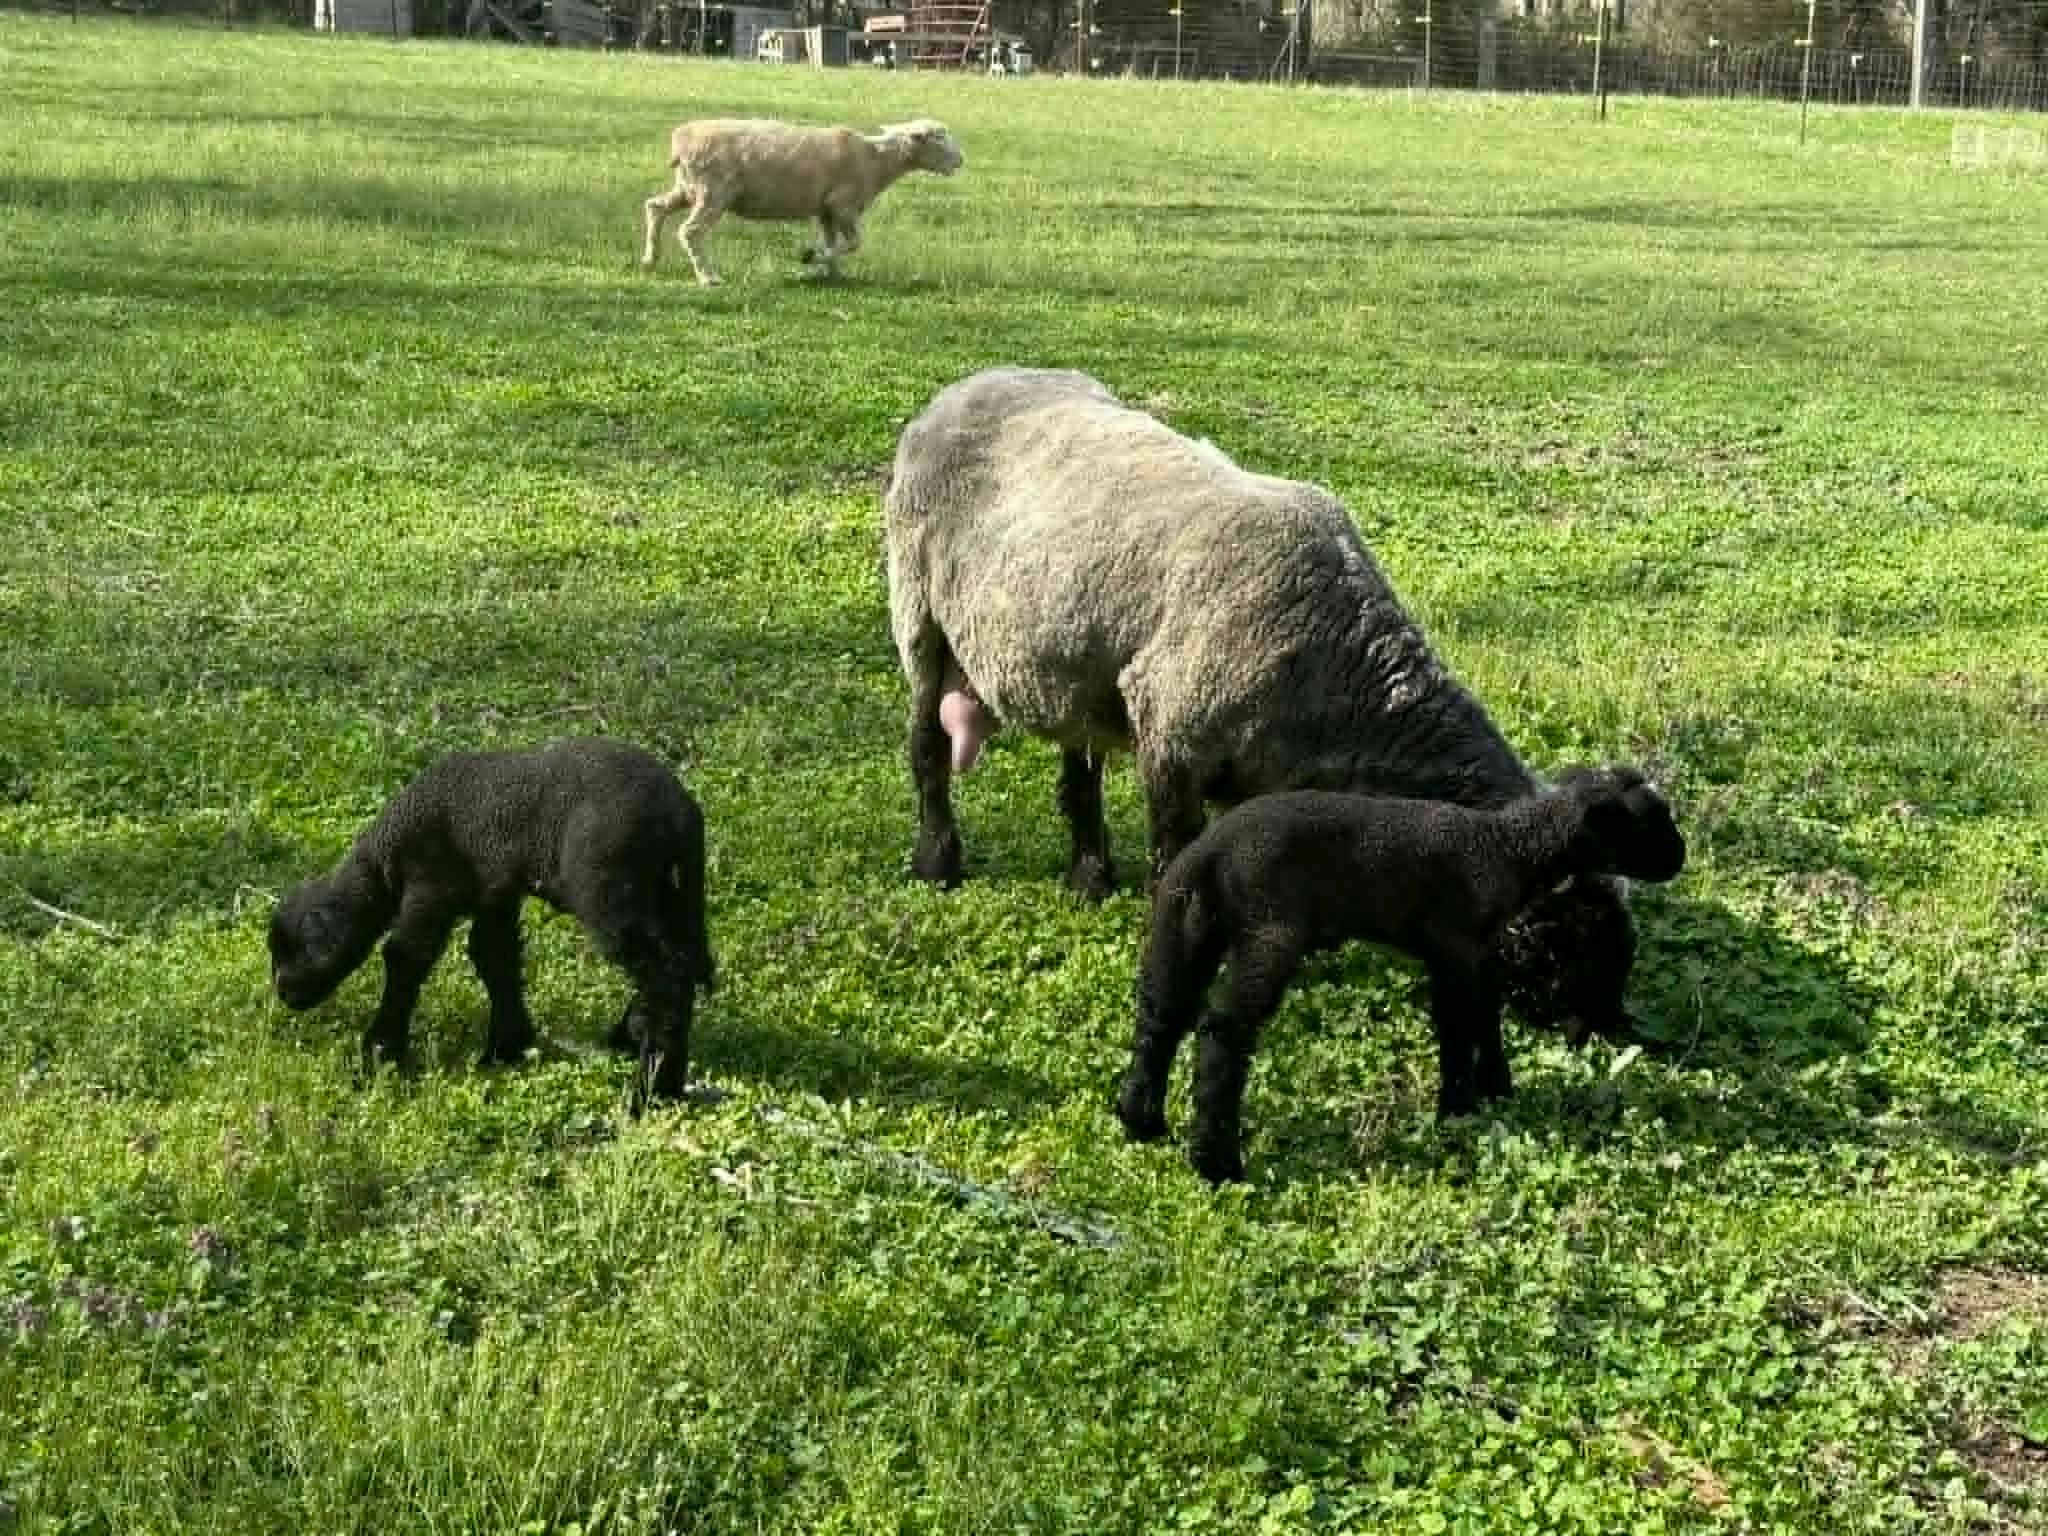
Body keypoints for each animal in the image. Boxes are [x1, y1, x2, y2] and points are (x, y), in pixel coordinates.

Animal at [268, 738, 716, 1102]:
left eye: (297, 949)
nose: (285, 994)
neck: (380, 866)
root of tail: (682, 813)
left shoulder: (432, 882)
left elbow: (405, 956)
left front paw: (379, 1053)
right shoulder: (494, 890)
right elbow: (493, 957)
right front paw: (507, 1047)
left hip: (610, 887)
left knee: (666, 974)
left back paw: (650, 1089)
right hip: (671, 892)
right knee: (683, 964)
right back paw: (640, 1046)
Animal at [640, 117, 964, 286]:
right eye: (937, 137)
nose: (960, 161)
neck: (876, 161)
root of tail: (681, 141)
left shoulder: (827, 211)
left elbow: (834, 243)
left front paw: (833, 273)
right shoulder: (843, 205)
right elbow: (854, 243)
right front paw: (811, 257)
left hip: (688, 188)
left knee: (655, 207)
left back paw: (649, 260)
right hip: (713, 191)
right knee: (690, 231)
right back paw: (708, 277)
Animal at [882, 364, 1645, 1048]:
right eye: (1565, 936)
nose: (1604, 1034)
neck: (1342, 666)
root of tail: (966, 385)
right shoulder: (1172, 735)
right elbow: (1175, 860)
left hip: (1071, 662)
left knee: (1079, 765)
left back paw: (1089, 876)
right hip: (918, 611)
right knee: (926, 749)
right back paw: (937, 862)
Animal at [1117, 766, 1687, 1184]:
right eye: (1648, 822)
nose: (1680, 859)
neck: (1507, 847)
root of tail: (1208, 854)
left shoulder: (1479, 952)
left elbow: (1487, 1017)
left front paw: (1498, 1089)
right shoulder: (1453, 949)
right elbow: (1457, 1029)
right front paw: (1457, 1112)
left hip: (1184, 923)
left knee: (1161, 1015)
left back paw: (1140, 1120)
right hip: (1269, 928)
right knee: (1222, 1030)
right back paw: (1217, 1164)